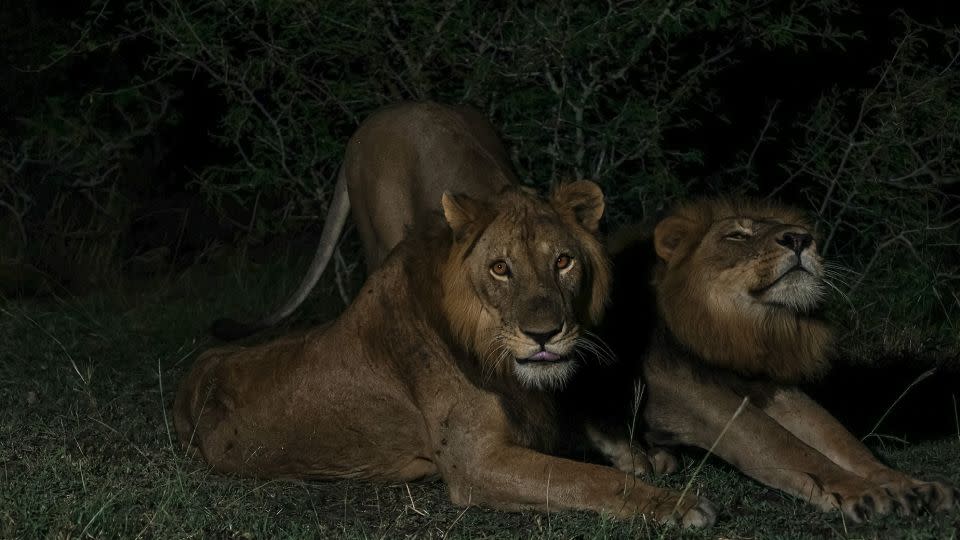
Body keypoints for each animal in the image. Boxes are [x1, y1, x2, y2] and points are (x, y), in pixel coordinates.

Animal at [172, 185, 716, 528]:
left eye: (563, 261)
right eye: (500, 268)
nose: (545, 335)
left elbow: (588, 427)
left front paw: (645, 456)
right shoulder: (475, 464)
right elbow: (584, 479)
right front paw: (676, 504)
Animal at [568, 199, 956, 524]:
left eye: (799, 232)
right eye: (737, 235)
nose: (801, 238)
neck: (743, 327)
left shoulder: (769, 386)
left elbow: (841, 440)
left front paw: (912, 486)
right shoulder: (690, 394)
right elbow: (784, 446)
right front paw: (866, 492)